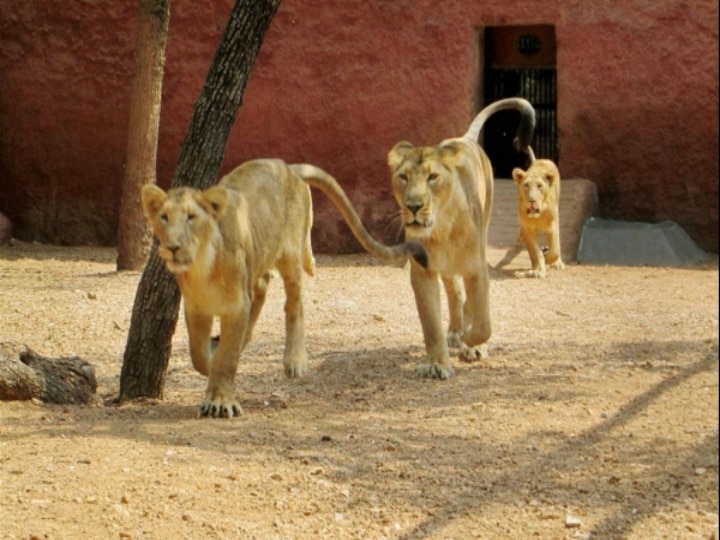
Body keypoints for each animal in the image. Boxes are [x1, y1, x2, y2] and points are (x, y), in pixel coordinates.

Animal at [141, 158, 428, 420]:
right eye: (164, 217)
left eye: (191, 218)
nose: (173, 247)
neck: (202, 265)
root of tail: (287, 166)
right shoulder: (196, 307)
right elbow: (198, 354)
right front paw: (212, 361)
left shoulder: (236, 305)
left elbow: (227, 358)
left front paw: (220, 401)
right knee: (263, 285)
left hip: (290, 253)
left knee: (294, 302)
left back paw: (295, 360)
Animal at [388, 97, 536, 380]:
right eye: (403, 177)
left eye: (432, 177)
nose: (413, 206)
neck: (441, 228)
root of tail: (465, 138)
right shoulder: (422, 272)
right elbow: (431, 324)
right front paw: (437, 363)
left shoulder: (477, 268)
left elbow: (483, 323)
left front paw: (473, 344)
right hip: (446, 269)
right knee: (455, 293)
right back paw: (456, 331)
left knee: (468, 301)